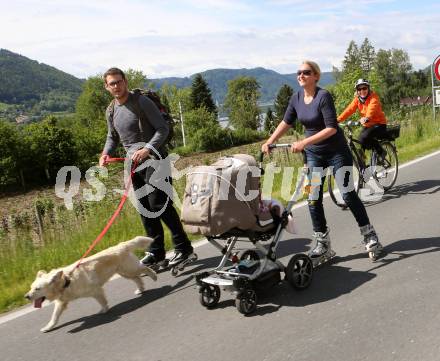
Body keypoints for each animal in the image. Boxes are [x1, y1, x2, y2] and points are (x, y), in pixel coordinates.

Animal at [24, 236, 156, 332]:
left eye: (37, 289)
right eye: (31, 288)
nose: (26, 296)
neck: (66, 281)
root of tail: (122, 245)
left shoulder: (95, 290)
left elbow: (102, 301)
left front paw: (104, 310)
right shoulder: (61, 302)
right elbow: (54, 317)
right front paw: (48, 327)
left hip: (130, 269)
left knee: (144, 269)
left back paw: (154, 276)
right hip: (125, 273)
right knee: (138, 279)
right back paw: (140, 289)